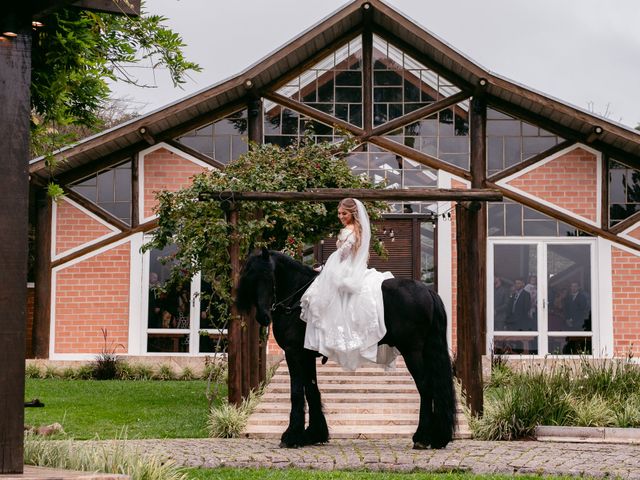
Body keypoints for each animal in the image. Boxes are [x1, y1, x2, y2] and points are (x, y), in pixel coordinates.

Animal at [236, 248, 456, 450]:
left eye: (268, 276)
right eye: (250, 277)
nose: (263, 317)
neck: (298, 300)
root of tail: (427, 291)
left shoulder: (294, 353)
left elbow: (297, 392)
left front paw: (292, 436)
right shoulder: (306, 355)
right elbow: (312, 389)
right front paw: (314, 434)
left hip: (412, 352)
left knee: (425, 387)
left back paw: (422, 437)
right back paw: (436, 437)